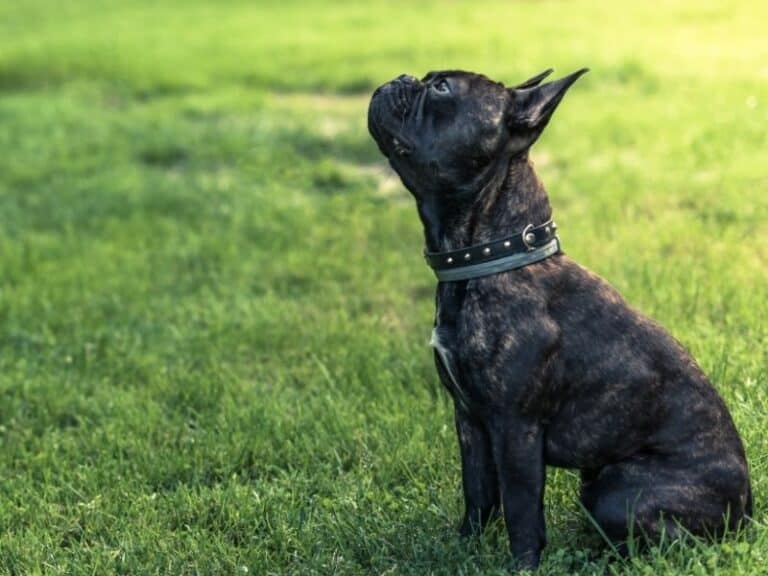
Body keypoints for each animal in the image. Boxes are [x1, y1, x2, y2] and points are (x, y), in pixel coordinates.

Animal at [366, 70, 752, 568]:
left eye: (442, 89)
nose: (402, 78)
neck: (491, 260)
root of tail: (747, 511)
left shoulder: (515, 429)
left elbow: (521, 510)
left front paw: (522, 567)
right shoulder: (470, 421)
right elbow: (478, 495)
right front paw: (464, 548)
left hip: (615, 490)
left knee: (673, 542)